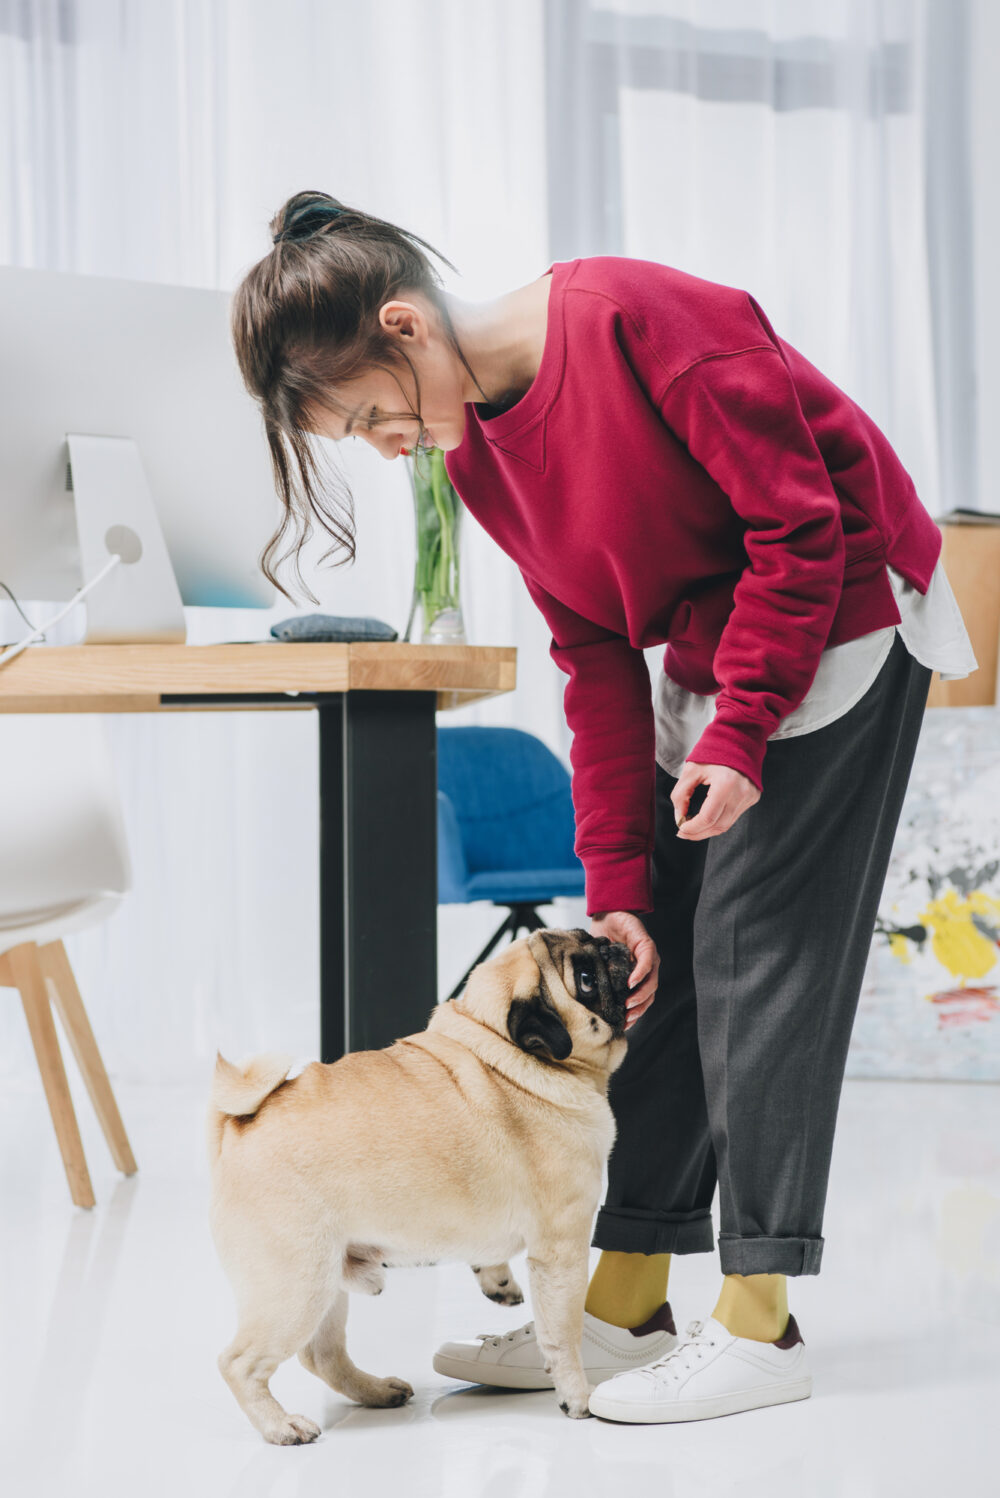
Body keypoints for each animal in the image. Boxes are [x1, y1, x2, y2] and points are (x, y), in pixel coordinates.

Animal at [206, 922, 637, 1438]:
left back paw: (375, 1392)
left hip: (324, 1280)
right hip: (295, 1285)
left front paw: (496, 1280)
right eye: (586, 979)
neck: (499, 1048)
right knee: (239, 1363)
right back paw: (280, 1426)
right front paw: (576, 1397)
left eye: (585, 934)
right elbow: (563, 1333)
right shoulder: (562, 1249)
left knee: (322, 1356)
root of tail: (239, 1123)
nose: (611, 944)